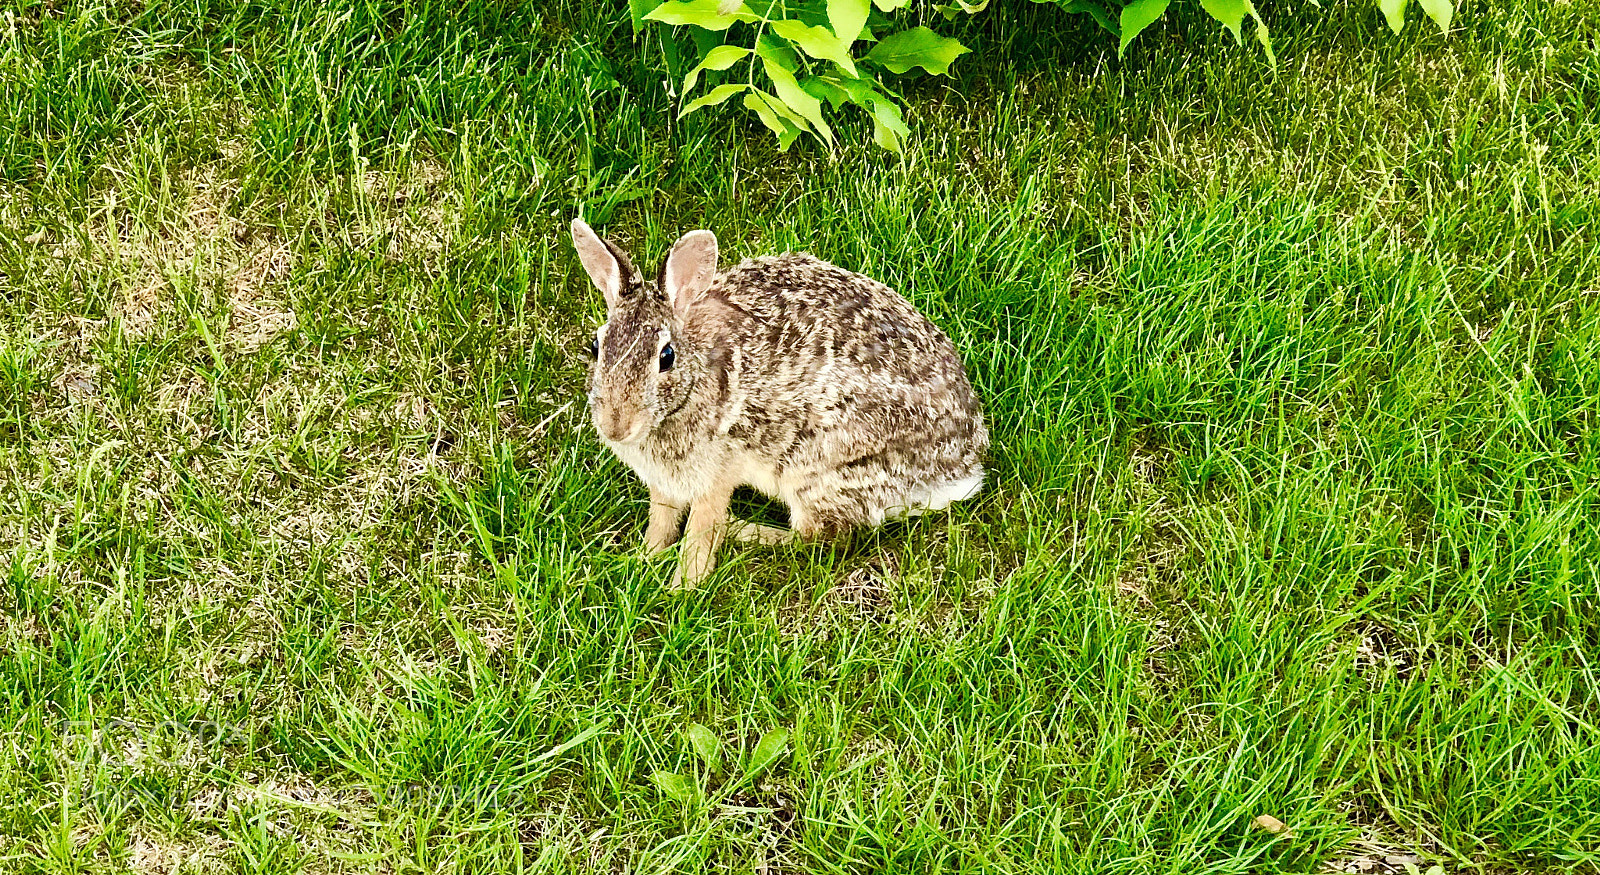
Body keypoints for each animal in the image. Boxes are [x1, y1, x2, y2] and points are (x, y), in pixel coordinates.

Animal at [570, 217, 989, 588]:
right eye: (595, 347)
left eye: (666, 357)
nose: (615, 426)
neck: (694, 382)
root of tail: (961, 468)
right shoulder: (663, 483)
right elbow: (661, 519)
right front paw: (646, 557)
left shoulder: (717, 475)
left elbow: (702, 531)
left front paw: (683, 586)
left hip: (817, 470)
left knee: (816, 537)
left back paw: (742, 530)